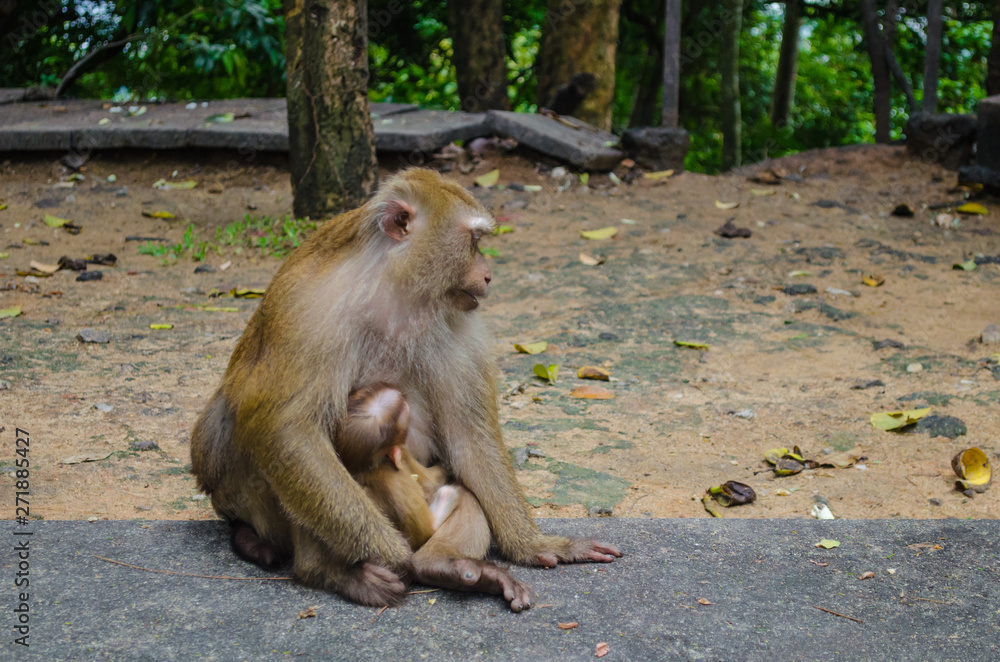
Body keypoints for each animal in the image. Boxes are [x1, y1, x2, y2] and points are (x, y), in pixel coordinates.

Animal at [190, 168, 621, 611]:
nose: (488, 274)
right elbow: (283, 427)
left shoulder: (455, 321)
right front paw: (391, 554)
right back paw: (332, 572)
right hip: (244, 495)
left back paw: (446, 565)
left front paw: (535, 544)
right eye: (474, 241)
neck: (393, 285)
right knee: (252, 429)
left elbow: (469, 436)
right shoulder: (307, 311)